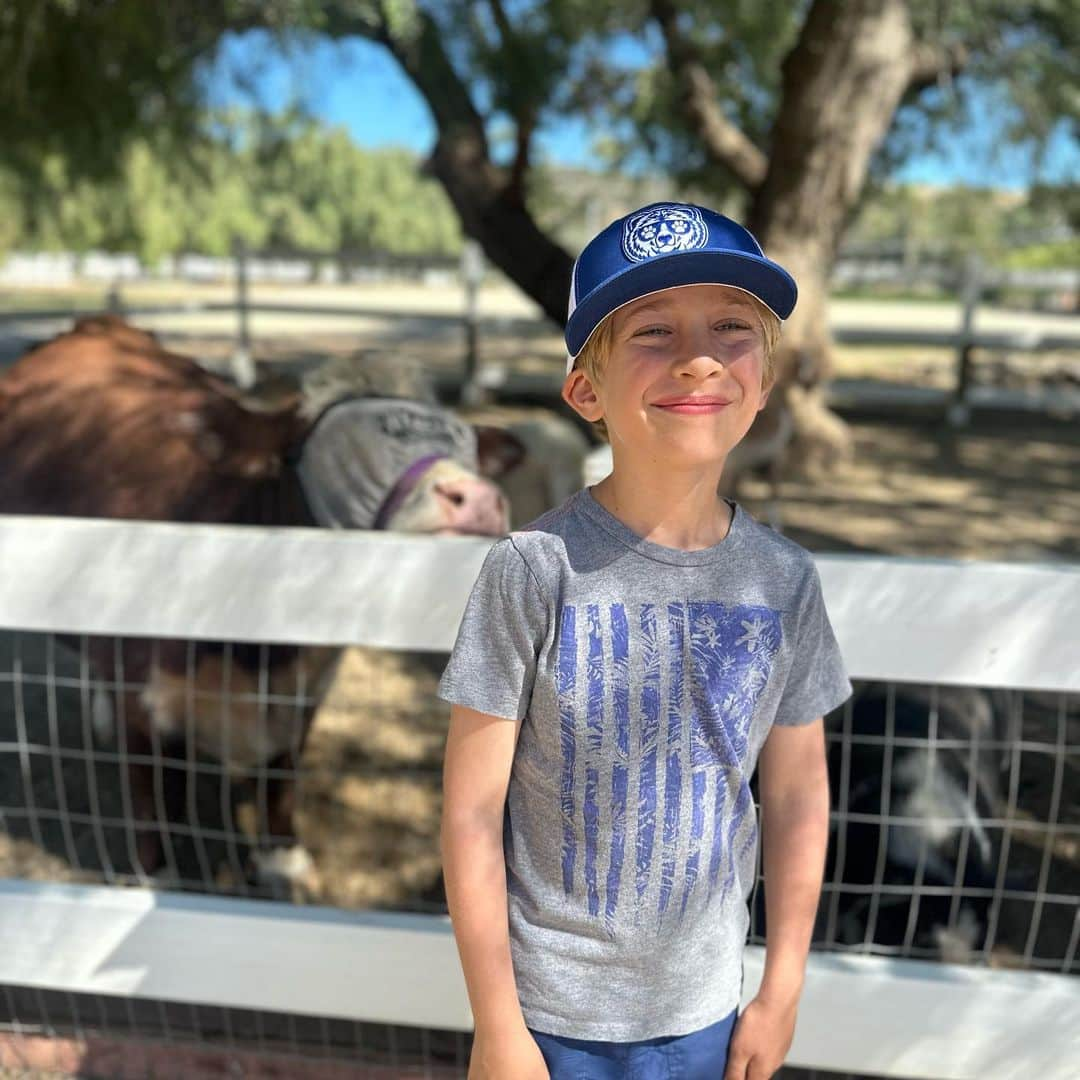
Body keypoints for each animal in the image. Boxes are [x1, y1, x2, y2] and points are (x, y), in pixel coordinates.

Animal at [0, 315, 522, 889]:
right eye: (343, 456)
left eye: (470, 450)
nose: (478, 500)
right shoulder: (137, 690)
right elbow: (151, 791)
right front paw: (153, 873)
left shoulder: (306, 690)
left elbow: (282, 773)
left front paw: (282, 858)